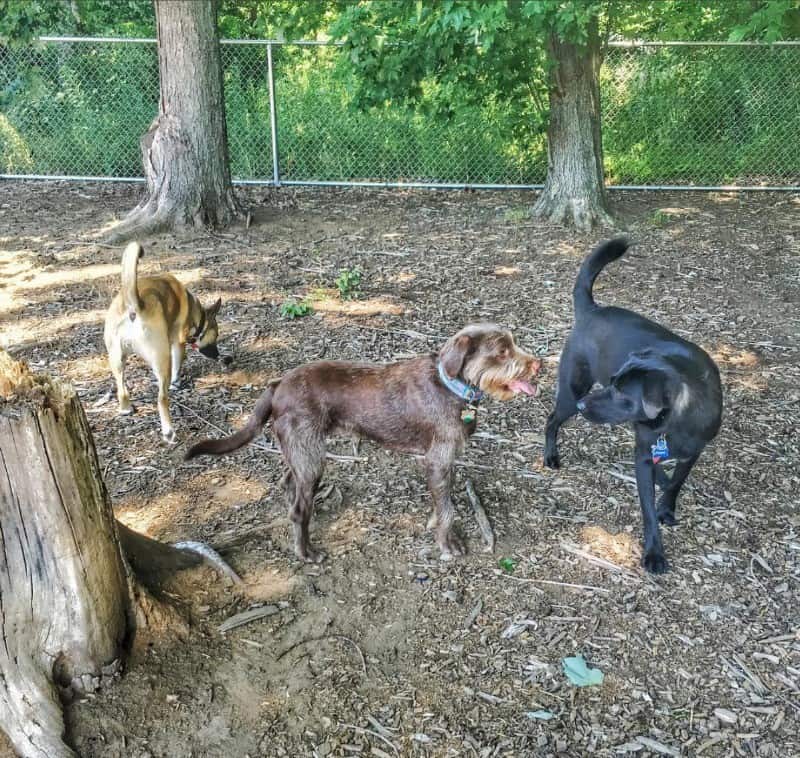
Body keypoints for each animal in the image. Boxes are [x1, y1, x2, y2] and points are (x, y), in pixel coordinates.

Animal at [184, 326, 540, 564]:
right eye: (502, 351)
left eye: (513, 343)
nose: (538, 365)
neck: (450, 385)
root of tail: (277, 384)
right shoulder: (438, 461)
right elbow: (448, 510)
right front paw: (447, 544)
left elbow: (440, 505)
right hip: (311, 455)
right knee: (298, 508)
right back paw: (306, 551)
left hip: (301, 452)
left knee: (289, 483)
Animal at [544, 240, 724, 572]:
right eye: (612, 382)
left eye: (621, 393)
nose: (584, 405)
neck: (677, 417)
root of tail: (593, 310)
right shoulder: (643, 455)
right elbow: (648, 511)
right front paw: (654, 553)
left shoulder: (692, 452)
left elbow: (676, 483)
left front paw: (667, 506)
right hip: (572, 391)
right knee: (551, 420)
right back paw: (550, 455)